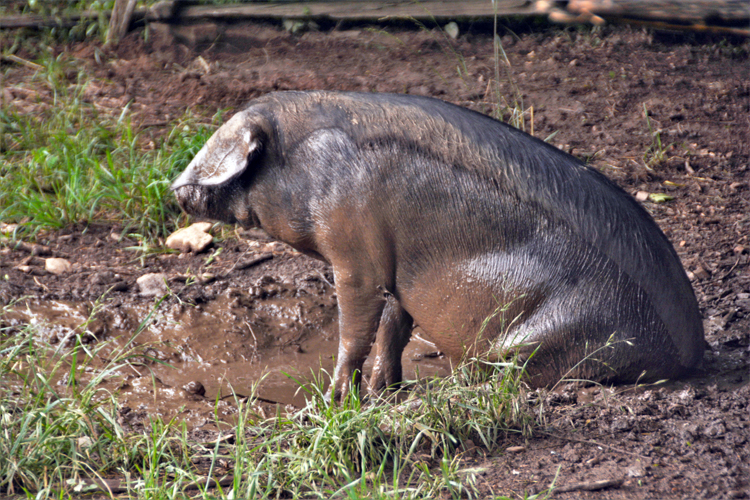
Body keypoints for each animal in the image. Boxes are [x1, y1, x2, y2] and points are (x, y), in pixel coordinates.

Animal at [173, 92, 708, 400]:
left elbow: (356, 327)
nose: (175, 187)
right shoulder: (398, 268)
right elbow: (394, 326)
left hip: (546, 336)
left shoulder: (354, 250)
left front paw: (334, 401)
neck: (305, 161)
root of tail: (687, 354)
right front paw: (383, 391)